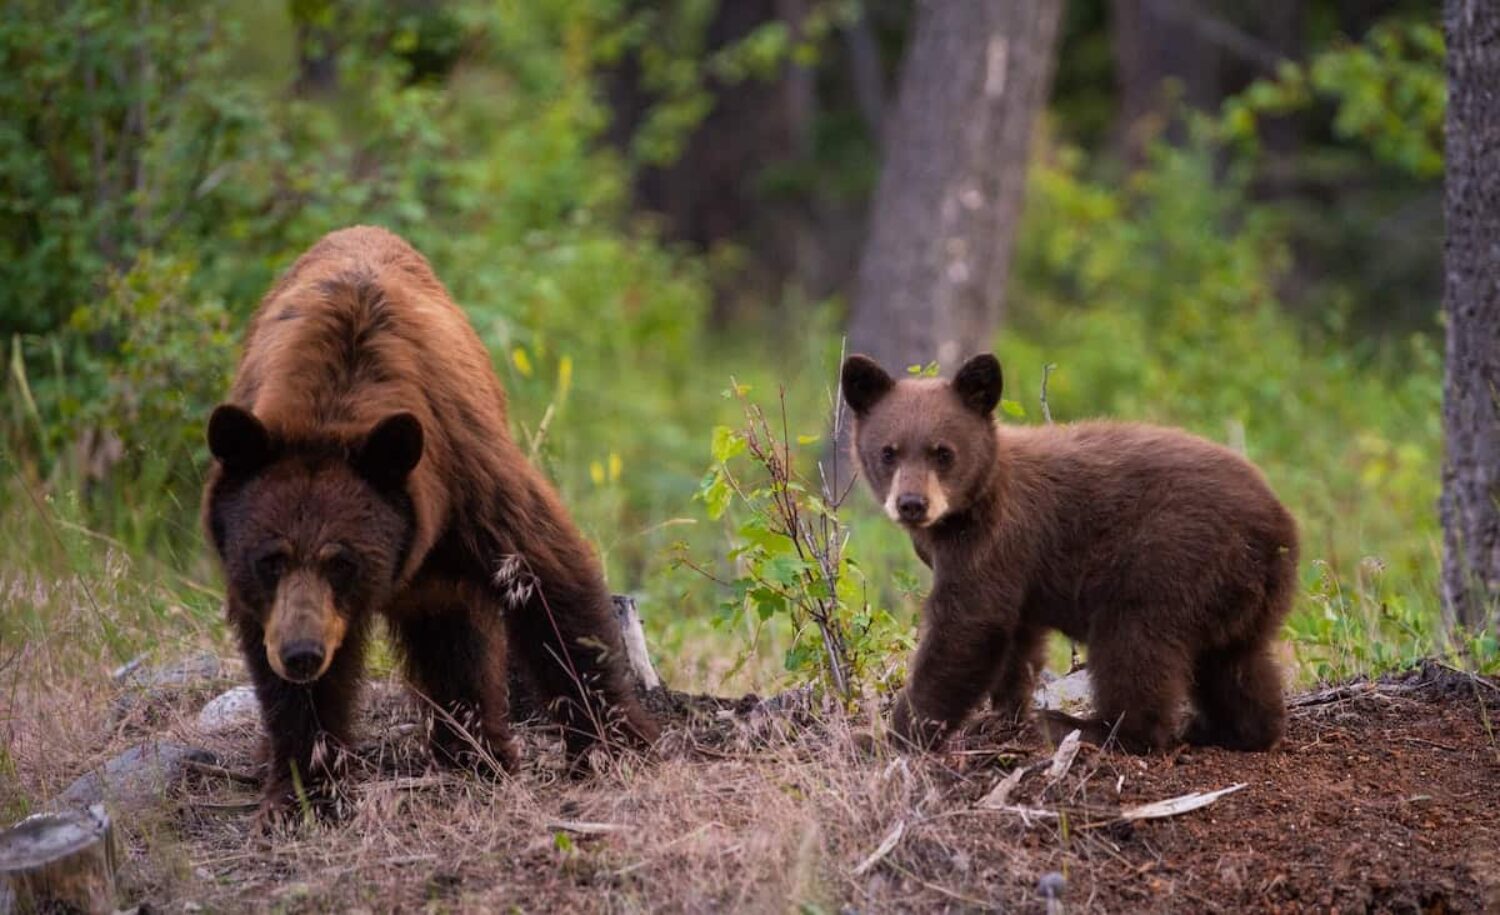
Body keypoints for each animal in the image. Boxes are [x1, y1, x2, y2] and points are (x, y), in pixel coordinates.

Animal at [204, 225, 657, 810]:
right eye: (270, 560)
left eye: (342, 562)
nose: (301, 653)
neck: (332, 408)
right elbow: (290, 693)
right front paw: (305, 790)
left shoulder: (468, 476)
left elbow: (548, 581)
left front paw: (615, 745)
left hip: (443, 572)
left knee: (455, 644)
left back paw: (476, 754)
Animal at [846, 349, 1302, 747]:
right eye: (888, 452)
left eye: (943, 452)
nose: (912, 503)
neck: (970, 505)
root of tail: (1278, 528)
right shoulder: (1014, 571)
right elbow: (1016, 638)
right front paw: (1002, 714)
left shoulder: (995, 541)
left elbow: (966, 629)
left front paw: (894, 735)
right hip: (1242, 595)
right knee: (1236, 663)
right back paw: (1230, 730)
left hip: (1171, 562)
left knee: (1135, 647)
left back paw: (1089, 728)